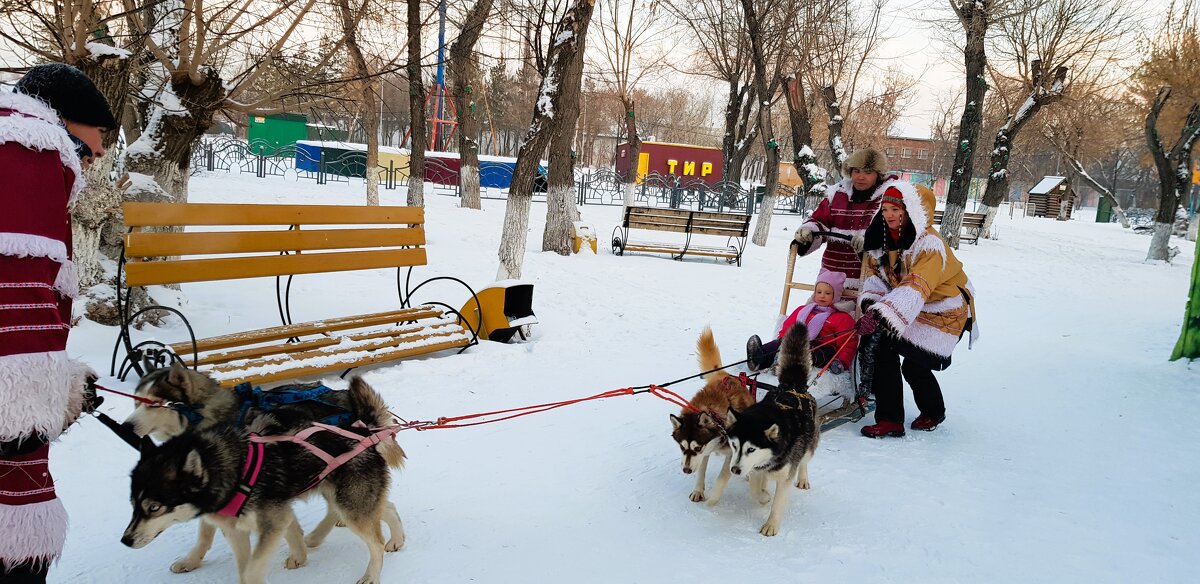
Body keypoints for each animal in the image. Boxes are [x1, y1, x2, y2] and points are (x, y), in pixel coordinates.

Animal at [124, 364, 408, 573]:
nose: (126, 426)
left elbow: (207, 530)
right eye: (135, 403)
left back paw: (322, 535)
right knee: (382, 506)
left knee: (350, 508)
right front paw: (191, 560)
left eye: (153, 403)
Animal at [672, 328, 753, 503]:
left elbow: (723, 476)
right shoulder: (705, 452)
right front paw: (698, 490)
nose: (686, 470)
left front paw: (714, 497)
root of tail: (724, 375)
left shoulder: (730, 454)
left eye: (697, 447)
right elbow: (701, 471)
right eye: (682, 447)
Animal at [720, 321, 816, 537]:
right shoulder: (755, 469)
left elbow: (778, 503)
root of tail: (792, 386)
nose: (735, 470)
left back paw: (803, 478)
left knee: (804, 461)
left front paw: (771, 524)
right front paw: (763, 496)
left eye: (751, 449)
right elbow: (755, 490)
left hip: (809, 446)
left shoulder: (784, 477)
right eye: (734, 446)